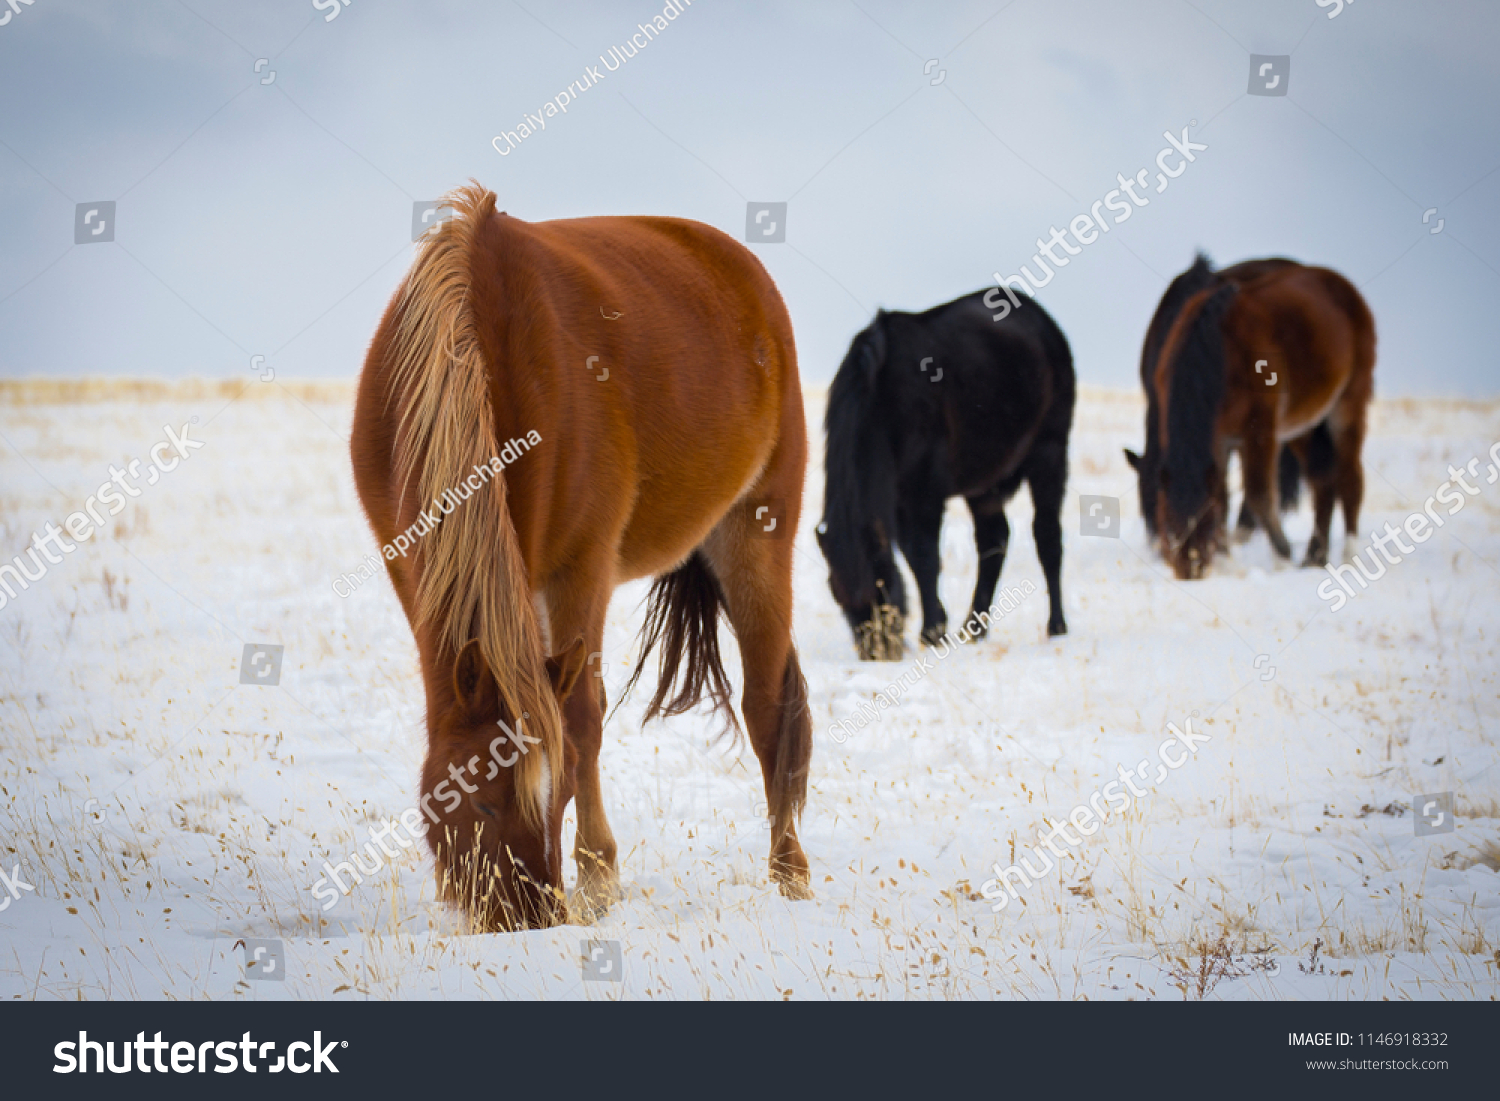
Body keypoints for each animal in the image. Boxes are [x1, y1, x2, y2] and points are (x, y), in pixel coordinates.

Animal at [349, 183, 816, 930]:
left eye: (561, 793)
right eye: (482, 803)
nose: (532, 920)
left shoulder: (582, 570)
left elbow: (583, 722)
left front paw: (598, 879)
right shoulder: (407, 564)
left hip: (757, 531)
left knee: (768, 708)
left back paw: (790, 873)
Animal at [816, 289, 1074, 660]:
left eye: (881, 584)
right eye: (836, 592)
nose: (878, 652)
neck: (881, 394)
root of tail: (1044, 321)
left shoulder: (924, 491)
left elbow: (925, 556)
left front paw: (932, 631)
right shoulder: (901, 498)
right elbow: (913, 555)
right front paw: (939, 621)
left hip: (1050, 454)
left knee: (1048, 537)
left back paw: (1056, 626)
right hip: (985, 485)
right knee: (994, 541)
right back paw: (975, 627)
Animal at [1140, 262, 1374, 582]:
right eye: (1166, 521)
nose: (1191, 568)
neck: (1218, 350)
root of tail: (1338, 282)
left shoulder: (1260, 430)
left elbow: (1259, 493)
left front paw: (1282, 557)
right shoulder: (1220, 438)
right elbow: (1222, 495)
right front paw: (1225, 559)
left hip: (1347, 405)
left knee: (1350, 479)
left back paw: (1349, 556)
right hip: (1302, 426)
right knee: (1323, 482)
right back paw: (1315, 557)